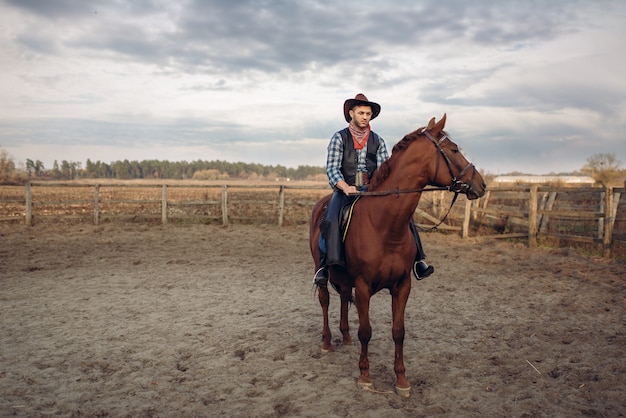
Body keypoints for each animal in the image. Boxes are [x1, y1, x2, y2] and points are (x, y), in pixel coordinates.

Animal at [310, 113, 486, 396]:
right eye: (454, 150)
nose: (481, 184)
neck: (384, 225)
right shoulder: (363, 286)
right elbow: (366, 331)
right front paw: (365, 376)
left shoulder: (402, 285)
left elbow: (398, 331)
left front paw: (402, 380)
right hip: (323, 272)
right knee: (325, 300)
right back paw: (327, 342)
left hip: (347, 279)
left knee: (343, 297)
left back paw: (345, 336)